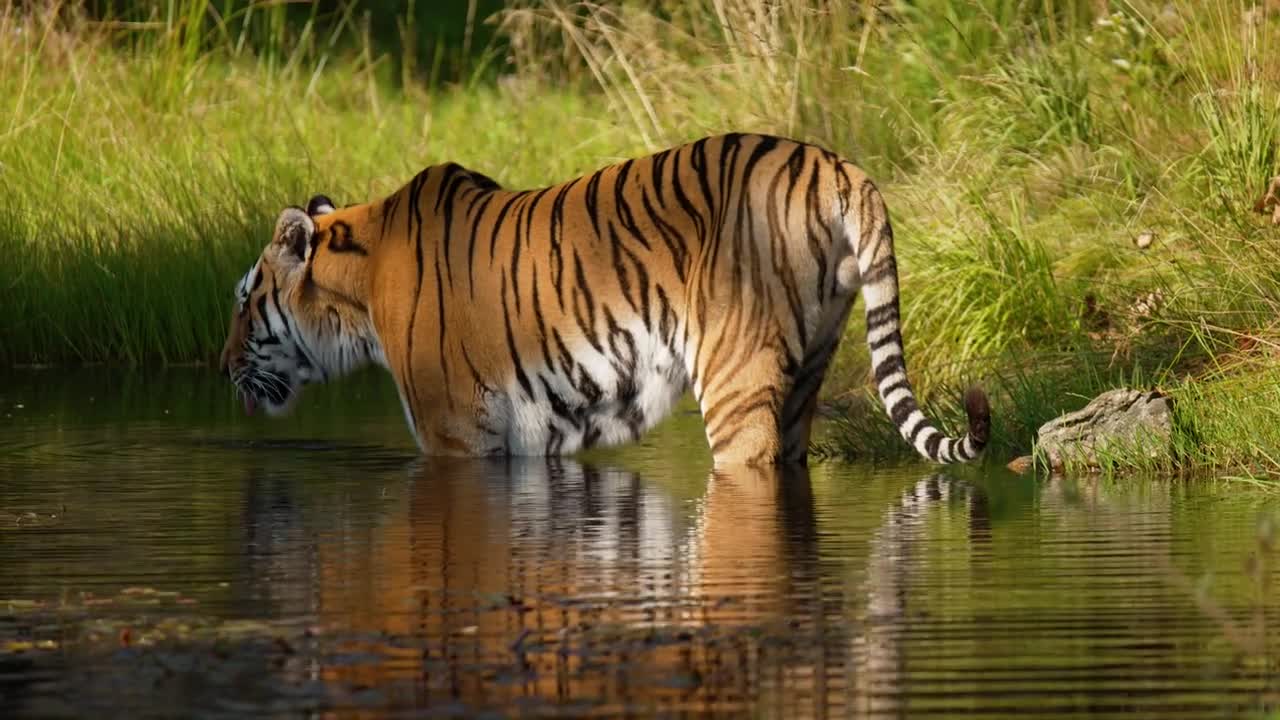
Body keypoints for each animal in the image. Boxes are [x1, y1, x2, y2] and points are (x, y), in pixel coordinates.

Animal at [217, 132, 988, 466]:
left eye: (244, 304)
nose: (222, 368)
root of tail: (833, 162)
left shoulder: (453, 433)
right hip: (811, 363)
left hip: (735, 373)